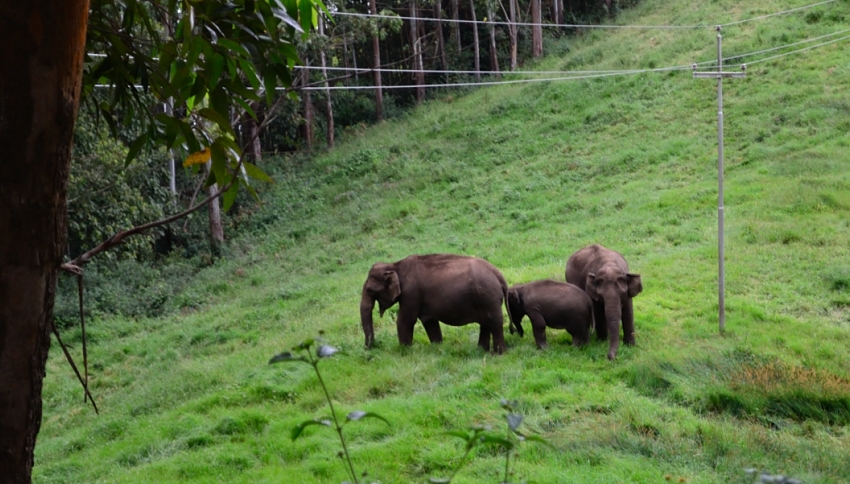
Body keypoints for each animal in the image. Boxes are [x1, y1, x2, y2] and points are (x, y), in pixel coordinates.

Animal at [358, 253, 516, 356]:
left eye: (370, 290)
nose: (368, 349)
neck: (395, 265)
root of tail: (498, 274)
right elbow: (430, 321)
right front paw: (438, 349)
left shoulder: (411, 293)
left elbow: (405, 320)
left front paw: (405, 352)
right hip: (486, 299)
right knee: (486, 323)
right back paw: (481, 351)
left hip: (488, 297)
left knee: (494, 322)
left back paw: (499, 354)